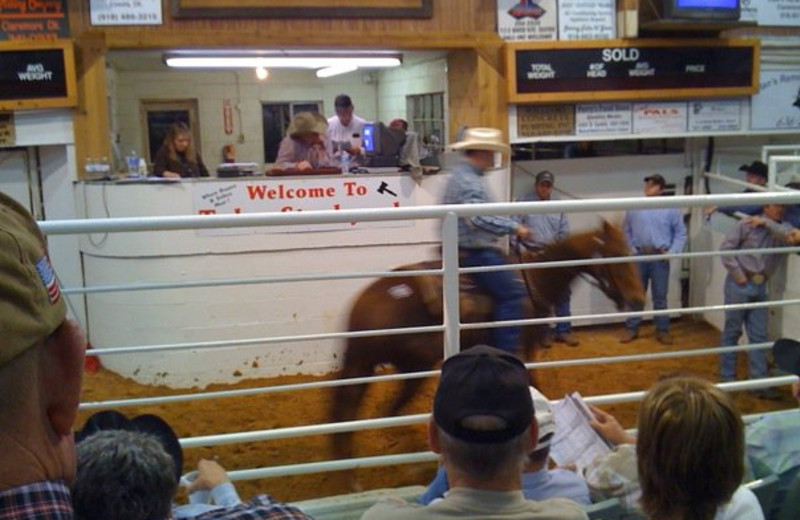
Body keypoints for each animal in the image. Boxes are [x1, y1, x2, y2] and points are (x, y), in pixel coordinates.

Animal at [328, 221, 648, 466]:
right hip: (392, 363)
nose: (638, 300)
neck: (535, 278)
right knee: (360, 406)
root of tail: (364, 302)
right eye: (617, 256)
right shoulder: (522, 351)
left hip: (390, 363)